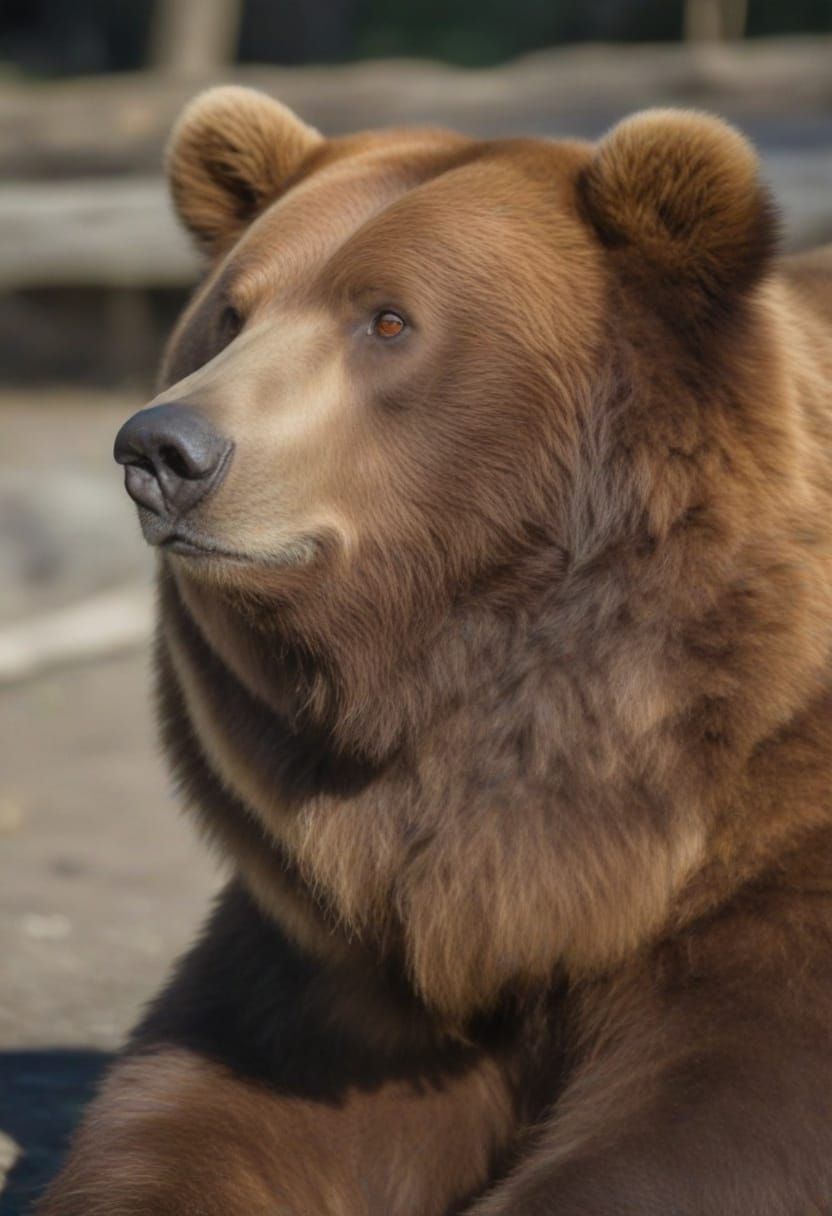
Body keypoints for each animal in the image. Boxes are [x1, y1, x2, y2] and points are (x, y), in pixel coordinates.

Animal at [38, 86, 832, 1215]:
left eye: (387, 319)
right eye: (232, 312)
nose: (164, 449)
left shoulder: (768, 854)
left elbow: (720, 1109)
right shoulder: (345, 917)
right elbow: (211, 1101)